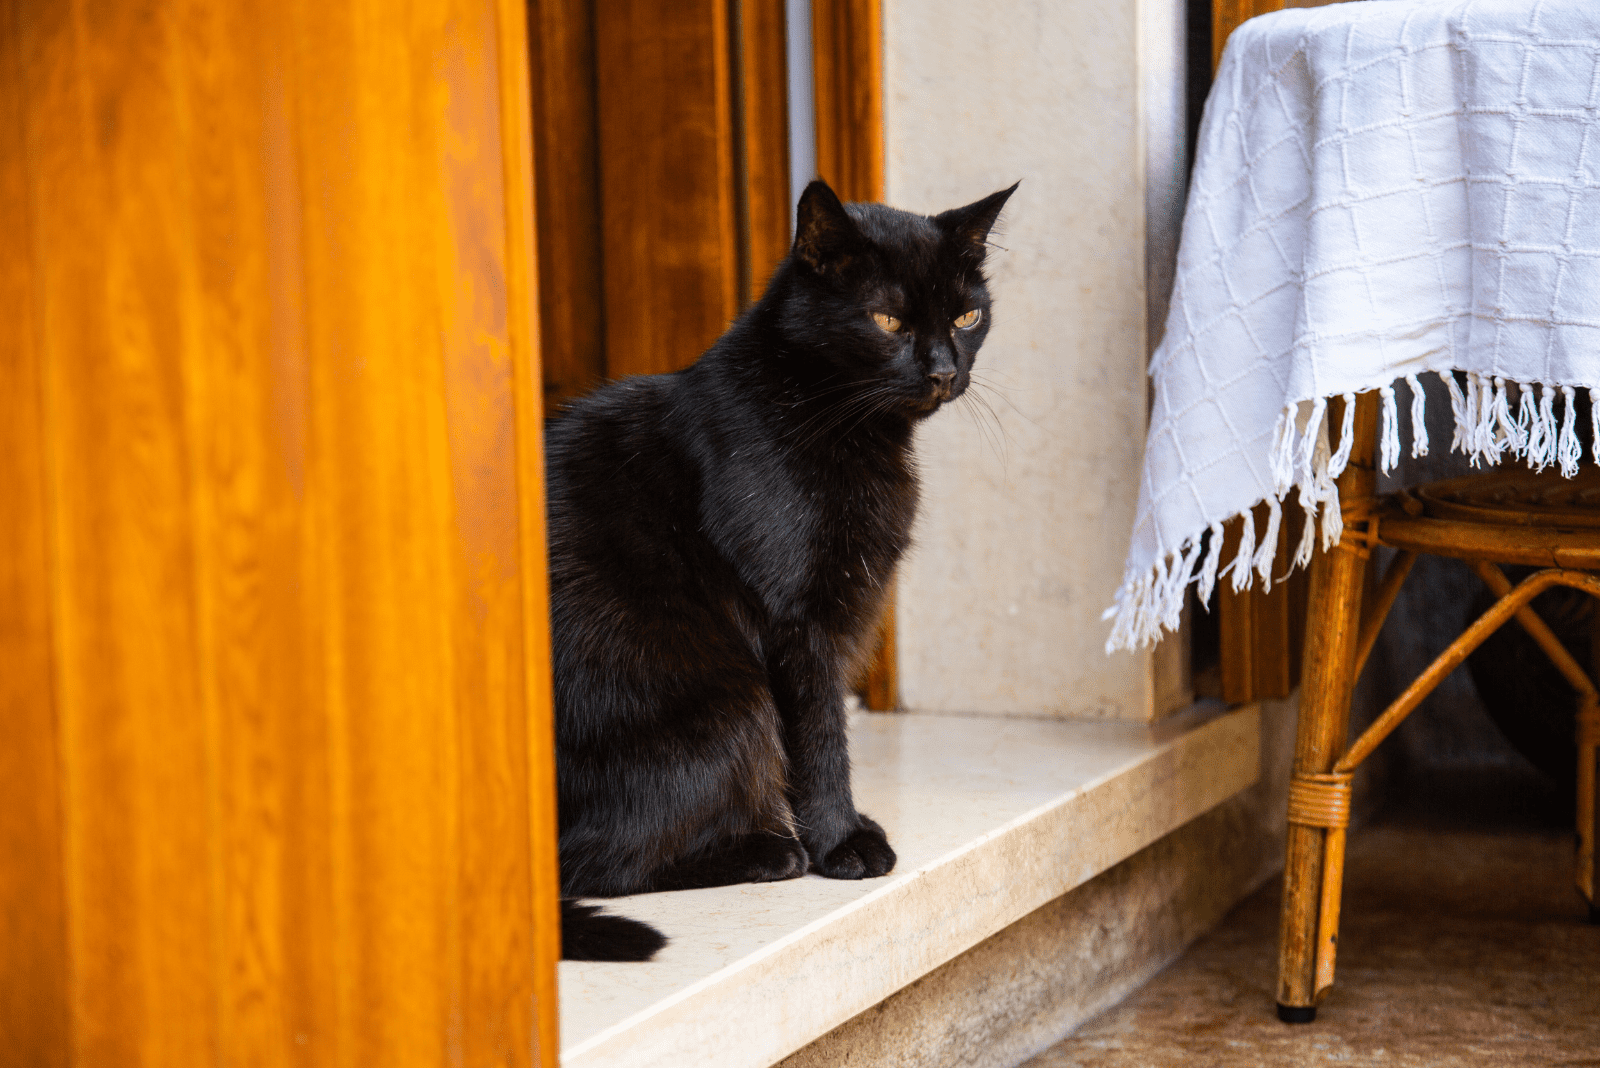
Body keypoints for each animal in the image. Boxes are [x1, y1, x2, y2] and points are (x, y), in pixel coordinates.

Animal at [547, 175, 1011, 959]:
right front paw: (841, 842)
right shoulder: (800, 623)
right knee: (594, 863)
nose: (944, 371)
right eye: (886, 320)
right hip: (734, 704)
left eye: (968, 315)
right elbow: (820, 735)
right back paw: (768, 849)